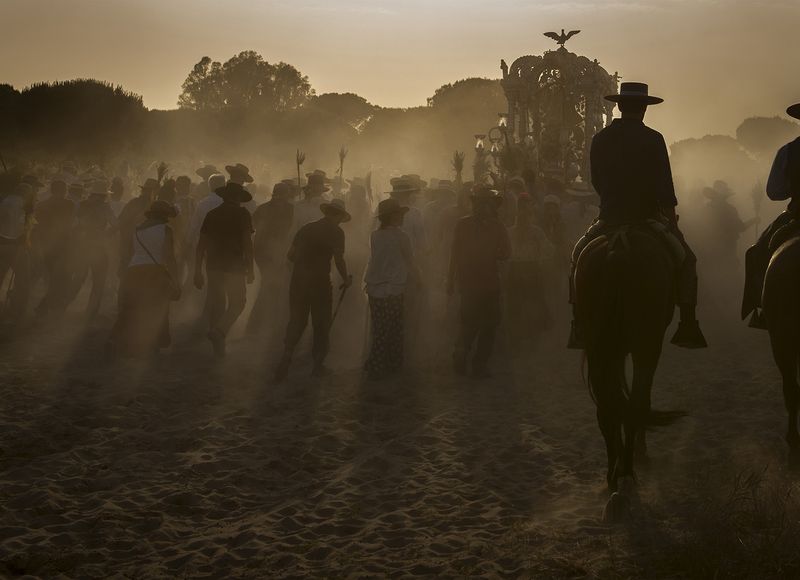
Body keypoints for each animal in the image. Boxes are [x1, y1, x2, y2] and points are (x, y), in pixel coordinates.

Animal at [580, 225, 684, 516]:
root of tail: (617, 252)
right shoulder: (643, 347)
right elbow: (639, 398)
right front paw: (640, 450)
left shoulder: (614, 350)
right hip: (645, 344)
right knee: (636, 403)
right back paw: (627, 471)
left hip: (600, 346)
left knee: (608, 407)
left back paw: (613, 476)